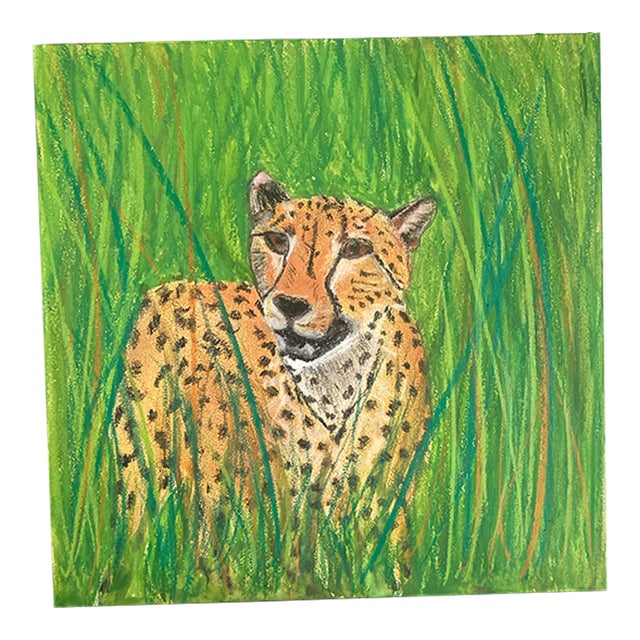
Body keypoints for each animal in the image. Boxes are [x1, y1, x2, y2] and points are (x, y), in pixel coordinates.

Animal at [114, 171, 437, 547]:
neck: (332, 379)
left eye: (355, 249)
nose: (290, 304)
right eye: (277, 240)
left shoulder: (381, 512)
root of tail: (171, 286)